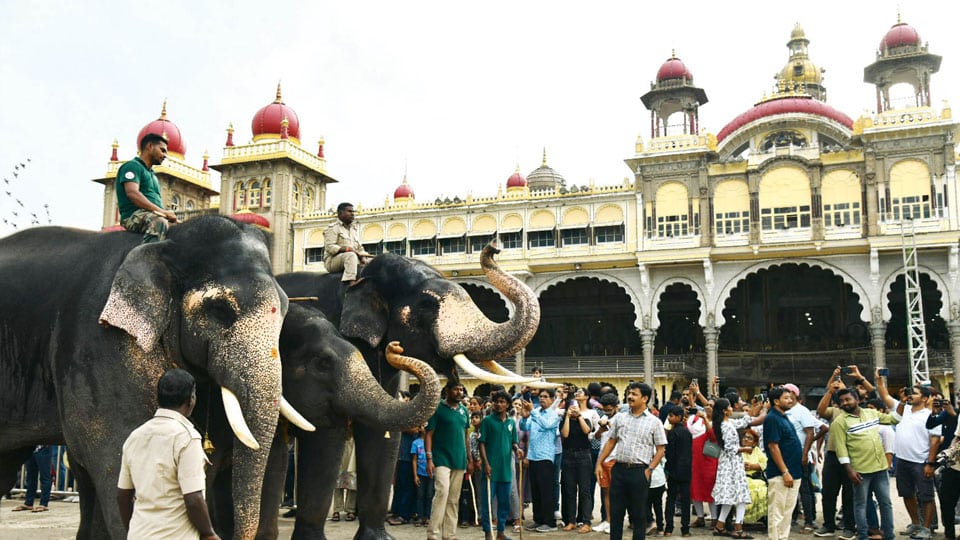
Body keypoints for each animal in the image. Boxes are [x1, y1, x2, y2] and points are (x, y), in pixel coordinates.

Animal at [280, 244, 548, 540]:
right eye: (427, 305)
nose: (494, 247)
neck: (360, 276)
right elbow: (328, 431)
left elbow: (382, 434)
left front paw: (379, 538)